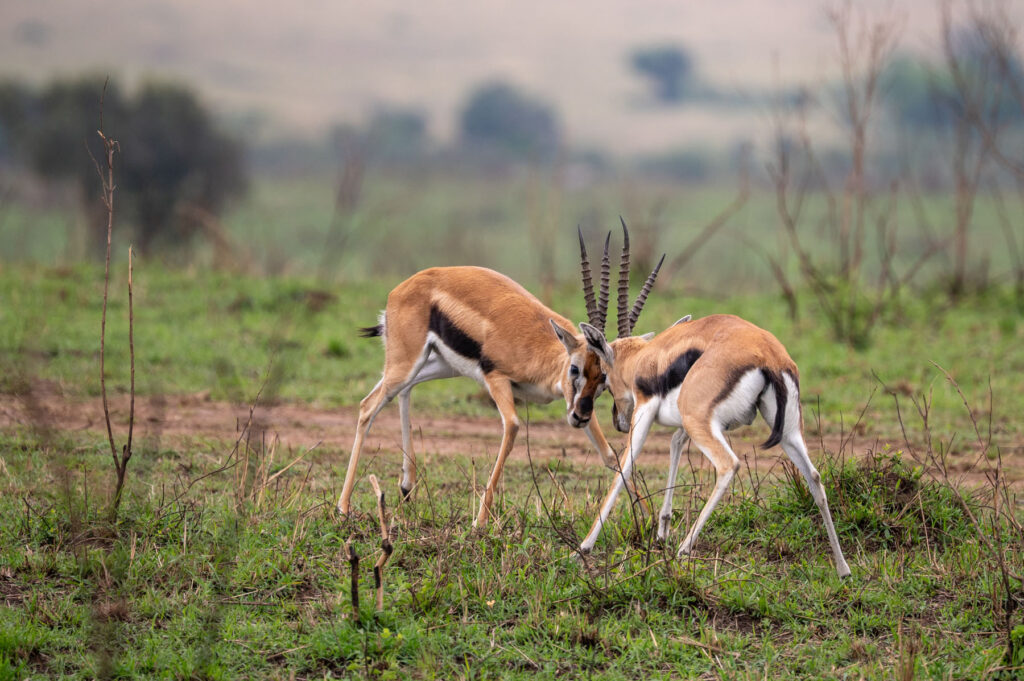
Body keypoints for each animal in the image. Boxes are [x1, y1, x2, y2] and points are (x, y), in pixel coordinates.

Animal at [337, 225, 664, 527]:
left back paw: (406, 484)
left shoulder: (571, 402)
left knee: (403, 391)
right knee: (368, 406)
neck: (544, 354)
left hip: (437, 365)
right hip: (408, 362)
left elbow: (609, 455)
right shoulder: (497, 379)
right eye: (575, 367)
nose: (581, 417)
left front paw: (649, 516)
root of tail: (401, 288)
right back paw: (343, 507)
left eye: (604, 379)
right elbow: (513, 426)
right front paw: (479, 522)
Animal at [575, 248, 851, 578]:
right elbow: (674, 445)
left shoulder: (647, 411)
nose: (618, 419)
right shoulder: (684, 423)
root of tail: (769, 355)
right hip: (785, 431)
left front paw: (584, 547)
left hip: (702, 424)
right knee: (815, 477)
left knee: (728, 465)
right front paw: (661, 533)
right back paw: (843, 569)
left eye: (603, 375)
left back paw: (684, 550)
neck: (645, 359)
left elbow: (624, 465)